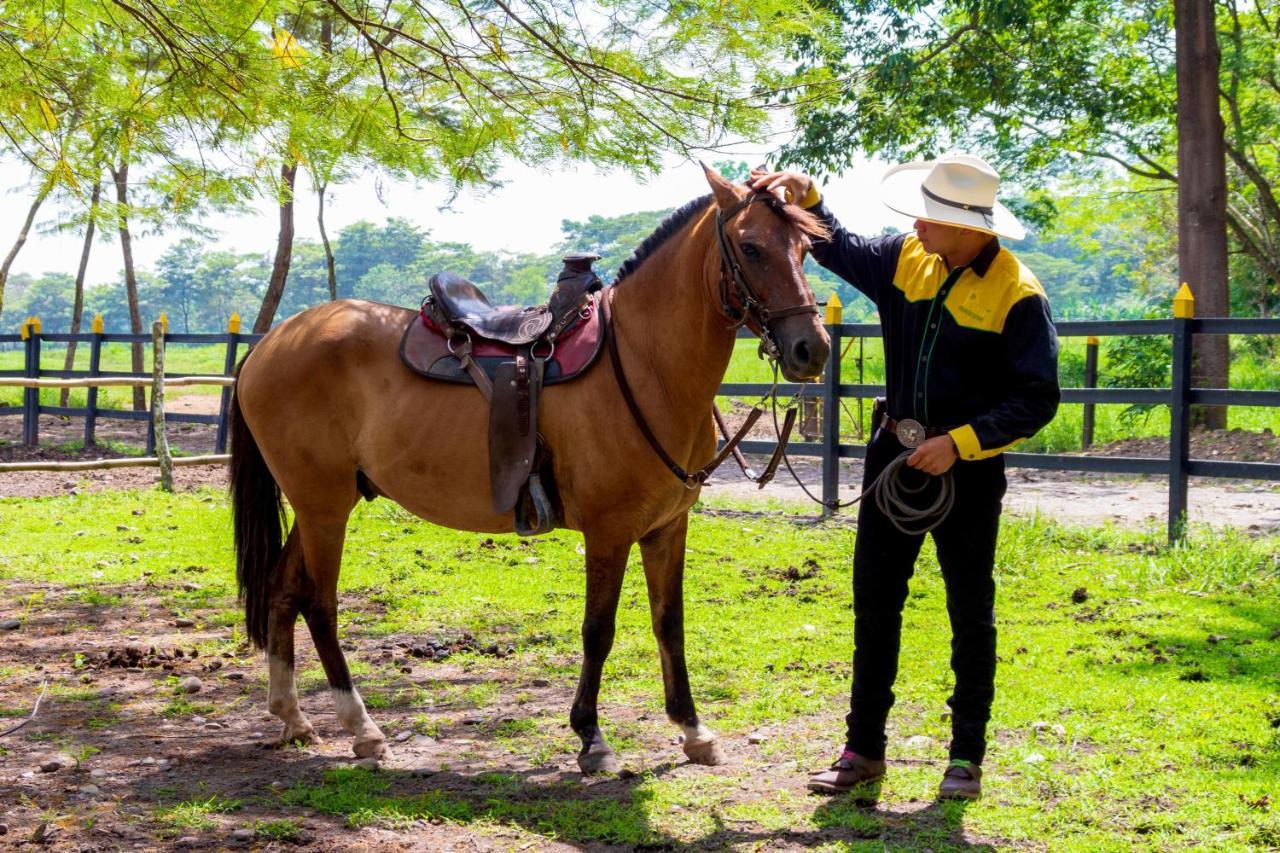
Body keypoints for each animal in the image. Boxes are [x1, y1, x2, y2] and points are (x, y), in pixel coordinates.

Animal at [230, 166, 829, 768]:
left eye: (804, 248)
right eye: (750, 247)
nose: (813, 349)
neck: (643, 363)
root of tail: (272, 341)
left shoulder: (666, 529)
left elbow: (670, 623)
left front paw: (692, 729)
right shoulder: (609, 532)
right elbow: (598, 630)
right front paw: (591, 737)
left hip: (317, 507)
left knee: (282, 591)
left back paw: (294, 718)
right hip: (324, 508)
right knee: (319, 605)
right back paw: (362, 728)